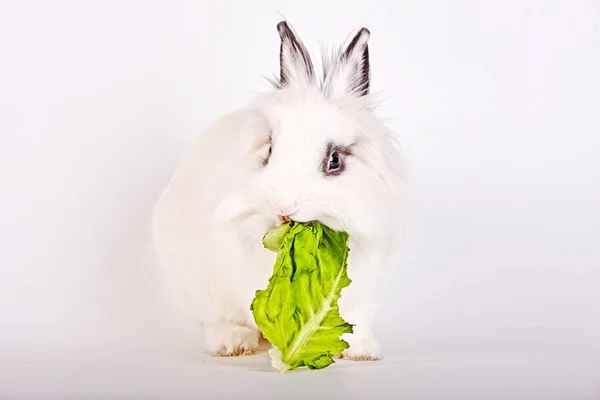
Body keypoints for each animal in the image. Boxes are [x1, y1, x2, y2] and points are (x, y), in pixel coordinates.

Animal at [152, 20, 410, 360]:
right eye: (270, 150)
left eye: (334, 160)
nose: (283, 210)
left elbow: (356, 320)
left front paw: (361, 351)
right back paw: (232, 343)